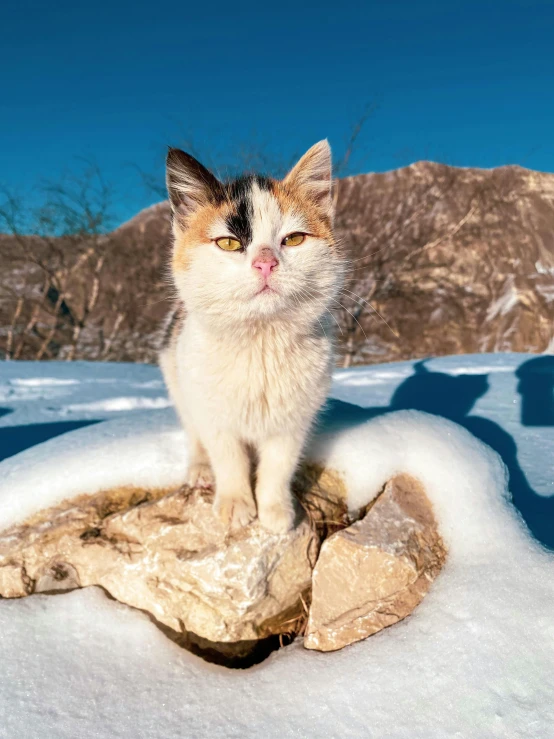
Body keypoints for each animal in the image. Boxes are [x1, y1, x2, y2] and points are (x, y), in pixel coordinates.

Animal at [157, 140, 342, 532]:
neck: (260, 343)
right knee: (193, 432)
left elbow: (278, 464)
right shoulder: (212, 412)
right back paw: (199, 469)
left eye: (294, 239)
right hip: (176, 376)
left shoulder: (294, 420)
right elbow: (228, 457)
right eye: (228, 243)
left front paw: (275, 511)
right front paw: (235, 504)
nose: (266, 262)